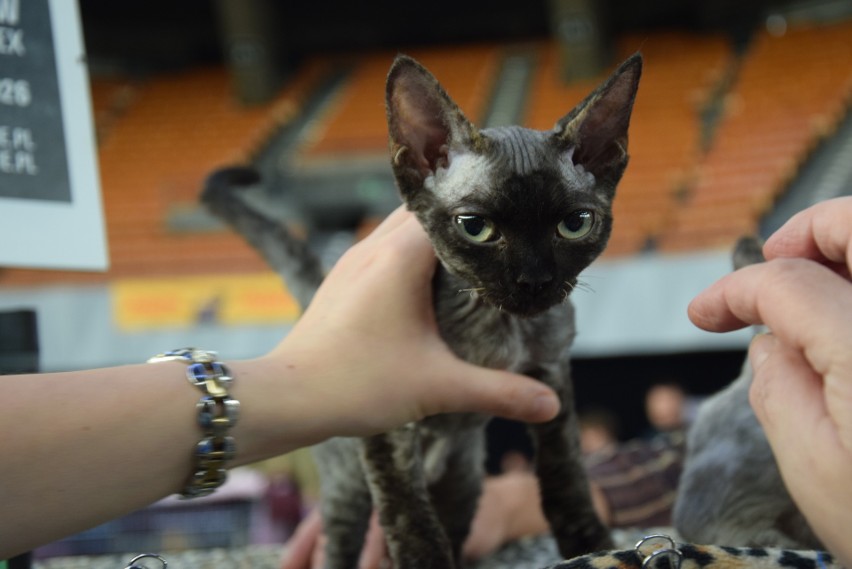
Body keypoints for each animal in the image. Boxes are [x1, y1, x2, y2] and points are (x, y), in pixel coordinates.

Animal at [203, 52, 644, 564]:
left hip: (463, 477)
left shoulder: (552, 378)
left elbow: (565, 472)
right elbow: (407, 516)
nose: (534, 280)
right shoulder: (386, 418)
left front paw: (591, 545)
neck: (498, 328)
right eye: (475, 227)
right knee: (339, 540)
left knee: (453, 522)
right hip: (349, 481)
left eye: (575, 224)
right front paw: (422, 561)